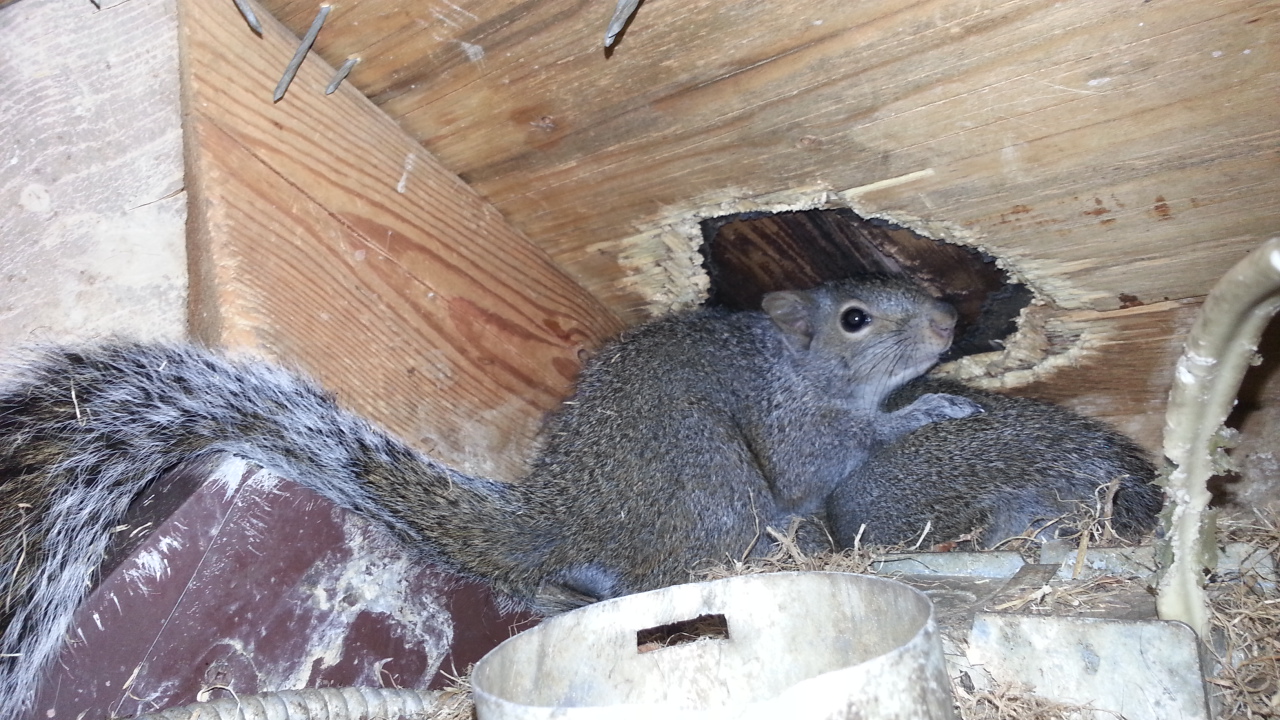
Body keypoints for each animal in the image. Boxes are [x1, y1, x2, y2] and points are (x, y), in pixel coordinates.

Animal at [0, 272, 983, 712]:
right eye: (856, 318)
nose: (949, 319)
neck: (800, 367)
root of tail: (563, 513)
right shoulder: (795, 429)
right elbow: (828, 458)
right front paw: (928, 405)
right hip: (714, 494)